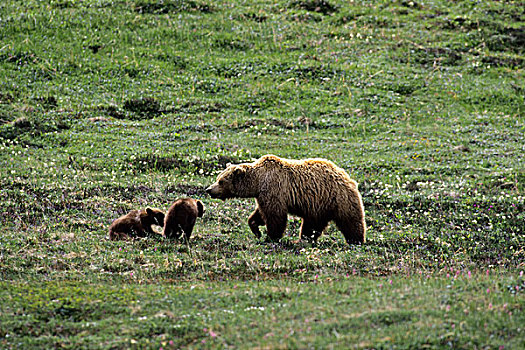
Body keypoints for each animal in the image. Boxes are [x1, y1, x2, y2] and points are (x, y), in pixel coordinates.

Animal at [205, 154, 364, 245]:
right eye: (218, 178)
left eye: (221, 181)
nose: (209, 190)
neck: (258, 181)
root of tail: (347, 177)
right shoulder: (263, 194)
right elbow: (260, 213)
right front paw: (256, 229)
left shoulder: (274, 188)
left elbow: (275, 216)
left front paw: (270, 237)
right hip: (319, 205)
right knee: (312, 224)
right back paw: (305, 239)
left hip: (338, 197)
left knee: (350, 220)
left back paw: (356, 240)